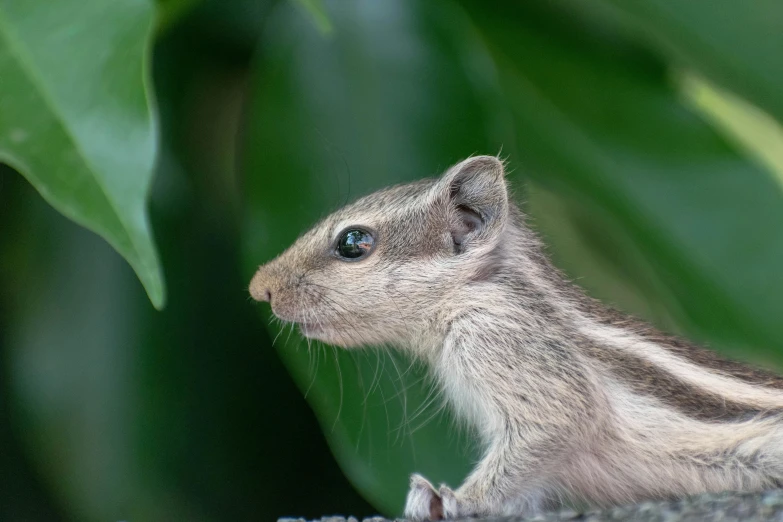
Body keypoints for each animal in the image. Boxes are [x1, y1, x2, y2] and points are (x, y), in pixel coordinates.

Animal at [248, 156, 783, 516]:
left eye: (353, 242)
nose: (258, 288)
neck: (478, 291)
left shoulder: (507, 349)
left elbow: (541, 439)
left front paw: (457, 500)